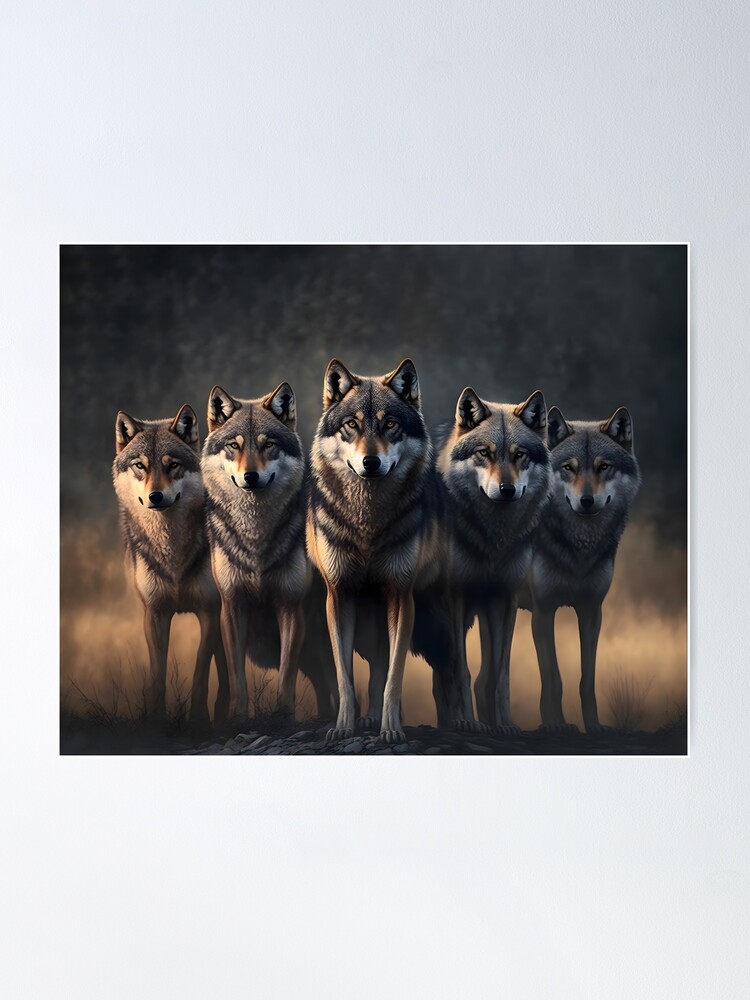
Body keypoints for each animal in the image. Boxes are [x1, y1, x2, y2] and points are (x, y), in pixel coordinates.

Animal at [112, 404, 229, 724]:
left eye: (172, 465)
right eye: (140, 466)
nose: (155, 496)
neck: (172, 552)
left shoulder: (209, 611)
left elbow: (201, 673)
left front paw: (198, 721)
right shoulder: (154, 613)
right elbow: (157, 676)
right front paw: (156, 720)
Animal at [201, 381, 337, 721]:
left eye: (268, 445)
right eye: (234, 446)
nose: (250, 476)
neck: (256, 537)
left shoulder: (290, 607)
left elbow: (286, 673)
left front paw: (284, 714)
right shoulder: (233, 607)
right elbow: (236, 674)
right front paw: (237, 715)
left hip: (320, 638)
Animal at [307, 358, 441, 743]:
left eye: (390, 424)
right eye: (351, 424)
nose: (370, 462)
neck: (367, 523)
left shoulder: (400, 594)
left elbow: (392, 676)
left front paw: (391, 729)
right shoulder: (338, 595)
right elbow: (344, 676)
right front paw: (342, 727)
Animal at [431, 387, 552, 731]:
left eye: (519, 455)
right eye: (484, 453)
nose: (507, 489)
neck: (492, 539)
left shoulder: (503, 598)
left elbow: (499, 674)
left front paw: (505, 724)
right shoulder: (455, 597)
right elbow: (461, 670)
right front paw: (466, 722)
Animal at [521, 406, 642, 732]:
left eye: (604, 467)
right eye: (569, 468)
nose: (587, 501)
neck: (579, 550)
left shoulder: (591, 611)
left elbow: (586, 680)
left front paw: (593, 726)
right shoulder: (543, 611)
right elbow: (553, 679)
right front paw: (554, 725)